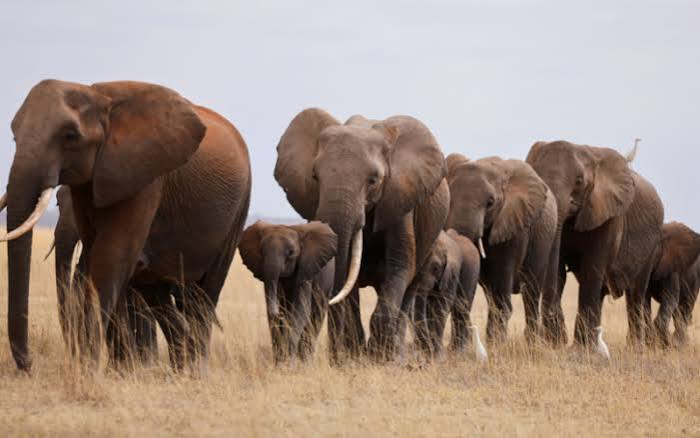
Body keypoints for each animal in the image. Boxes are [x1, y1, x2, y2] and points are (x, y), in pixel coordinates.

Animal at [239, 220, 337, 364]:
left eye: (291, 253)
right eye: (261, 252)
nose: (279, 313)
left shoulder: (306, 269)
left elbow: (301, 310)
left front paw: (288, 363)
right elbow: (272, 317)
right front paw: (280, 363)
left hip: (326, 287)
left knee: (315, 320)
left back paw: (306, 363)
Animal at [274, 109, 449, 362]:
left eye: (373, 180)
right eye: (315, 176)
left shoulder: (400, 199)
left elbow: (400, 265)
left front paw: (378, 357)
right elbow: (347, 279)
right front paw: (352, 359)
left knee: (409, 287)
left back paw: (396, 355)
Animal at [404, 229, 481, 359]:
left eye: (436, 268)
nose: (425, 351)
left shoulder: (451, 274)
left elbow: (440, 307)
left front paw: (437, 356)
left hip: (472, 272)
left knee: (461, 308)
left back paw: (458, 351)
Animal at [445, 154, 557, 344]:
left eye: (490, 202)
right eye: (450, 199)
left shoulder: (514, 225)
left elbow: (502, 288)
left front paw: (496, 345)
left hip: (545, 241)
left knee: (531, 293)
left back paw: (531, 343)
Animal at [526, 140, 664, 349]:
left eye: (579, 181)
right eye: (538, 177)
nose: (556, 340)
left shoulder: (608, 214)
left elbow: (591, 268)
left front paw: (579, 349)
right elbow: (558, 272)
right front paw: (558, 345)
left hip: (652, 245)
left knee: (636, 295)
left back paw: (634, 347)